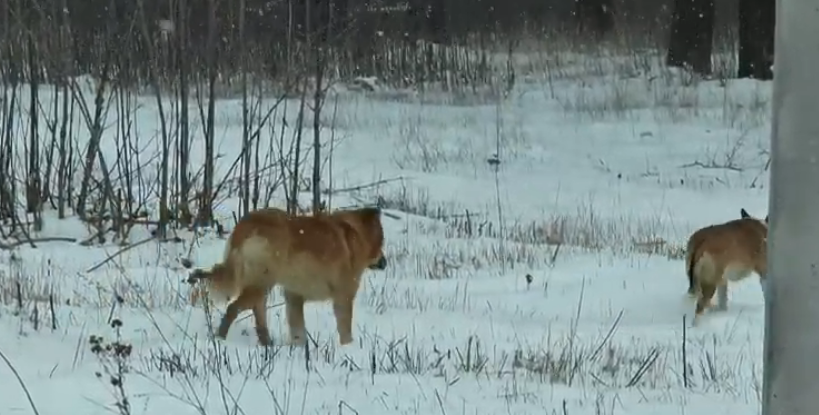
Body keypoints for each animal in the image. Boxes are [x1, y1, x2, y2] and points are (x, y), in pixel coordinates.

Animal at [189, 206, 388, 346]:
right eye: (382, 241)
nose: (385, 262)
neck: (356, 234)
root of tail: (246, 226)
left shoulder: (294, 296)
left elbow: (298, 329)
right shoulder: (344, 296)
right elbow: (345, 330)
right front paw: (348, 349)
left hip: (263, 285)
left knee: (258, 314)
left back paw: (267, 344)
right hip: (261, 282)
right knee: (234, 308)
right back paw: (220, 338)